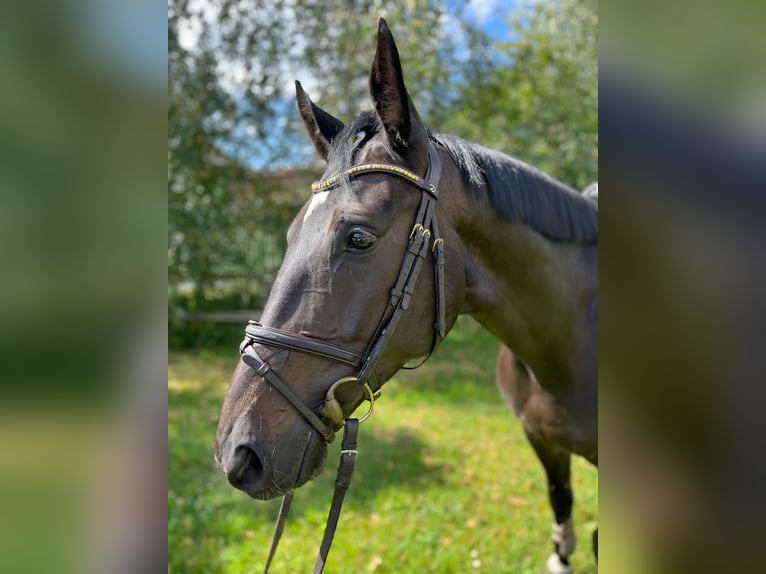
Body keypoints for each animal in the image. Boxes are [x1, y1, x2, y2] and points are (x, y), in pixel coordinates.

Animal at [216, 18, 600, 574]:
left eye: (360, 237)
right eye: (289, 234)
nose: (237, 452)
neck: (568, 343)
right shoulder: (542, 440)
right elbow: (562, 501)